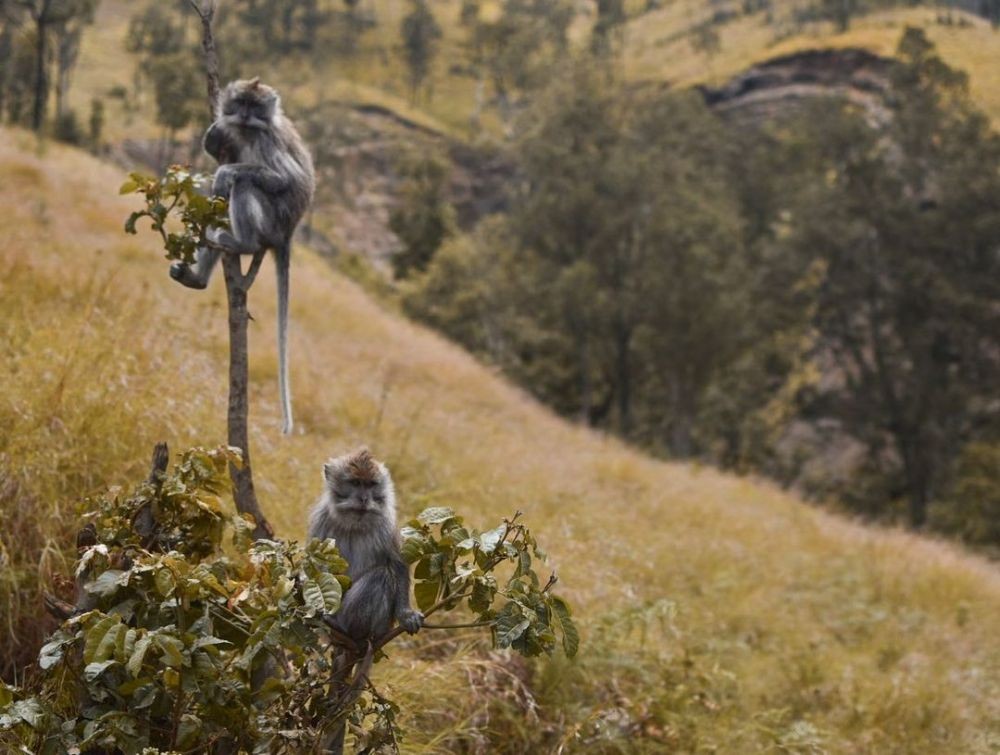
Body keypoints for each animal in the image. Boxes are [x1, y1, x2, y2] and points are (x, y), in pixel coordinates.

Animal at [170, 77, 314, 438]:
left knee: (245, 186)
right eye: (241, 103)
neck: (250, 132)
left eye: (255, 106)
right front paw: (212, 138)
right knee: (213, 207)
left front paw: (226, 169)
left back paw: (243, 242)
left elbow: (282, 178)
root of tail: (288, 234)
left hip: (273, 220)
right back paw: (198, 278)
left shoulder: (266, 140)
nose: (246, 116)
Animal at [310, 448, 424, 644]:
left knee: (381, 575)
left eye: (370, 485)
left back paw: (354, 632)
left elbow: (397, 564)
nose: (363, 499)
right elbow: (316, 565)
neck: (354, 524)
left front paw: (405, 614)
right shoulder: (321, 519)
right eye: (356, 483)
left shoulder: (386, 523)